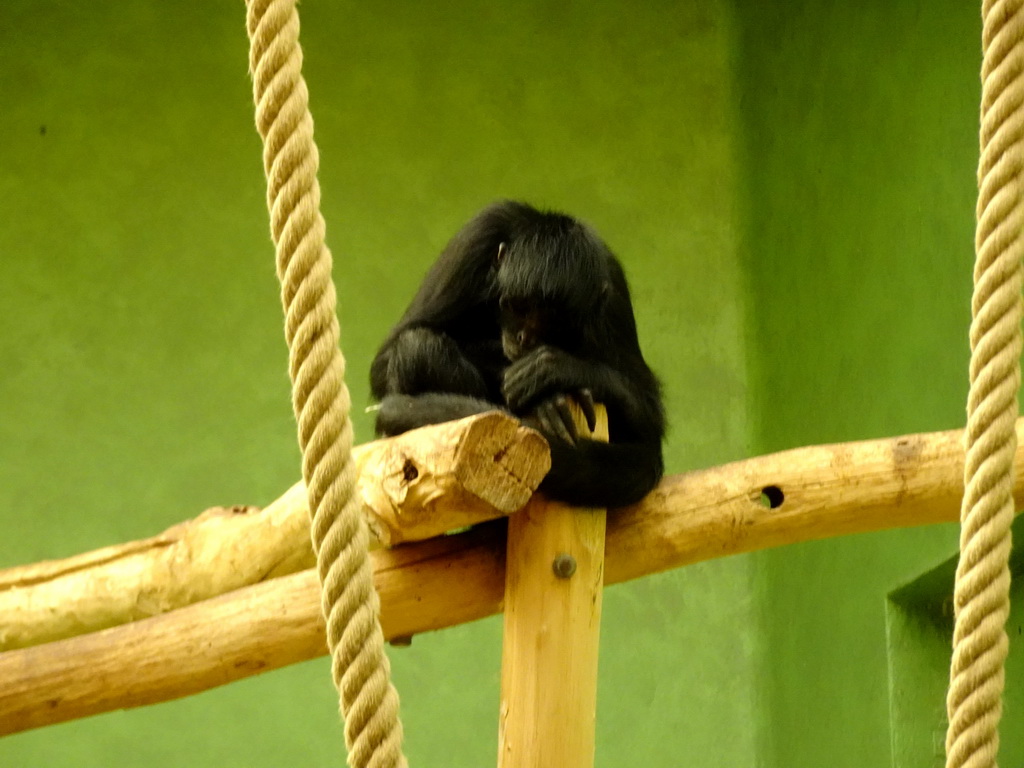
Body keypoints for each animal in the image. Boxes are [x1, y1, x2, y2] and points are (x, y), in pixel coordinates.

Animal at [368, 201, 663, 507]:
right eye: (517, 307)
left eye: (553, 321)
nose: (524, 338)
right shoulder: (478, 235)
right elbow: (385, 360)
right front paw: (543, 396)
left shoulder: (612, 285)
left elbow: (650, 417)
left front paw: (558, 370)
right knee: (417, 346)